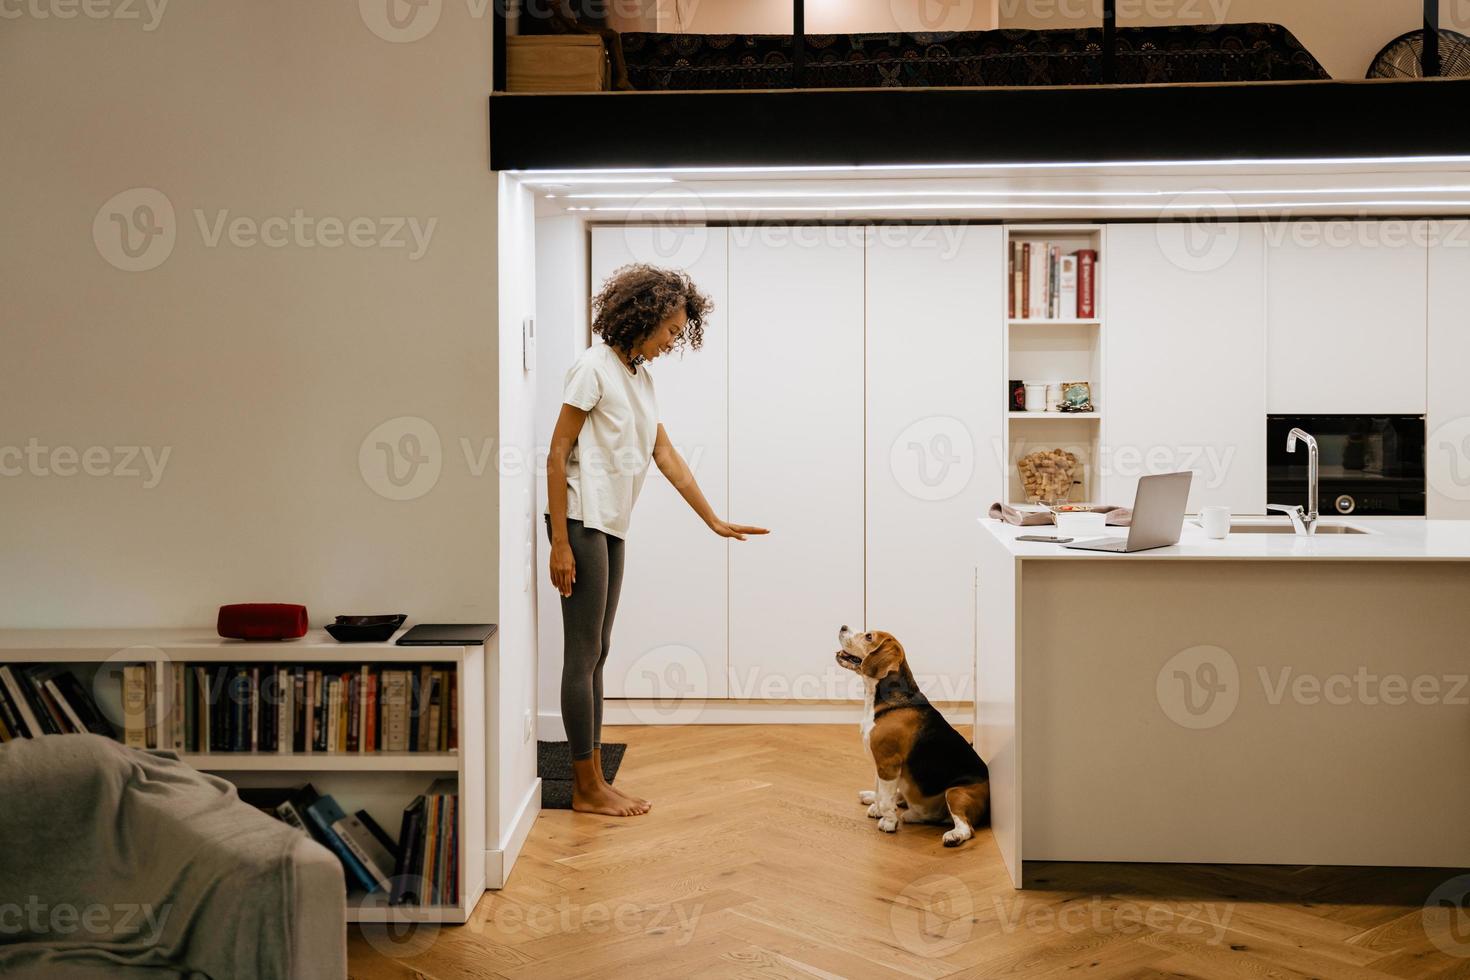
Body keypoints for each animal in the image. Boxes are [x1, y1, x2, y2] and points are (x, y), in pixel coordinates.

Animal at [840, 628, 987, 852]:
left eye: (868, 637)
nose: (843, 627)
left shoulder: (888, 762)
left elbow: (886, 799)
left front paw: (888, 822)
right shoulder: (880, 763)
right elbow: (881, 791)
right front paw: (877, 806)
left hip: (955, 792)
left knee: (966, 828)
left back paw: (953, 835)